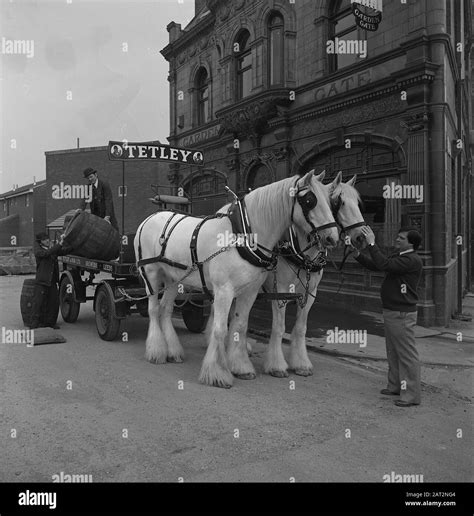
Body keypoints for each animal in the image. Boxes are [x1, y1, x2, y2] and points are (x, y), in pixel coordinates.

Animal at [135, 169, 338, 388]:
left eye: (331, 201)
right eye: (309, 200)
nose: (332, 237)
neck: (242, 234)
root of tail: (151, 217)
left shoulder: (250, 291)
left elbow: (239, 326)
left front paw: (241, 367)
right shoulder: (225, 290)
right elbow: (220, 329)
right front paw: (217, 373)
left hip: (173, 278)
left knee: (165, 310)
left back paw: (173, 351)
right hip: (151, 273)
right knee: (153, 309)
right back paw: (156, 351)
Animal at [262, 171, 366, 376]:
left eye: (358, 203)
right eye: (338, 202)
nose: (362, 237)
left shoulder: (310, 293)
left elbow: (301, 327)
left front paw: (301, 364)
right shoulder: (280, 290)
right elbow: (279, 327)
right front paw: (277, 365)